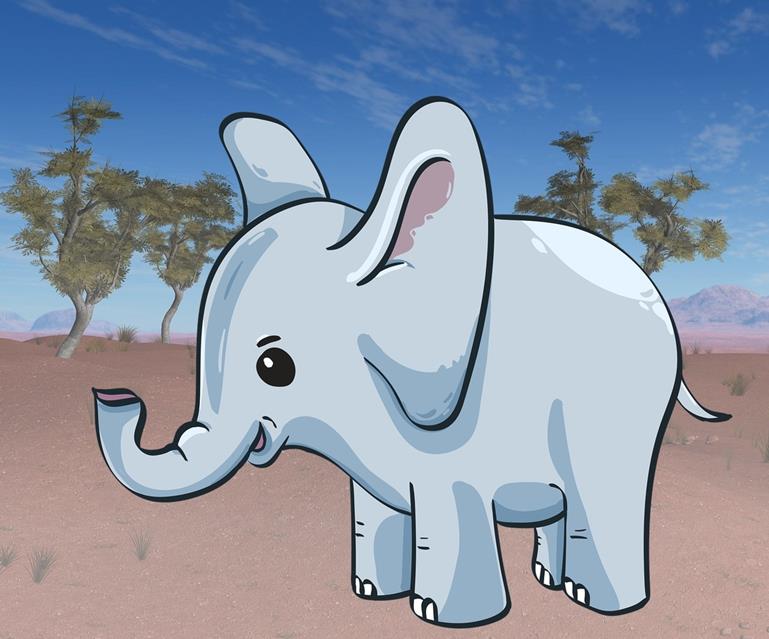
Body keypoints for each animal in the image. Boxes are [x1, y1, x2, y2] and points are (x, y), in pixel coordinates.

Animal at [93, 97, 730, 628]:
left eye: (275, 367)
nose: (116, 397)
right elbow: (375, 507)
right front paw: (372, 594)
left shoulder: (454, 436)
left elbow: (451, 504)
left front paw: (438, 615)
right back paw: (549, 580)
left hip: (617, 405)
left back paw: (591, 601)